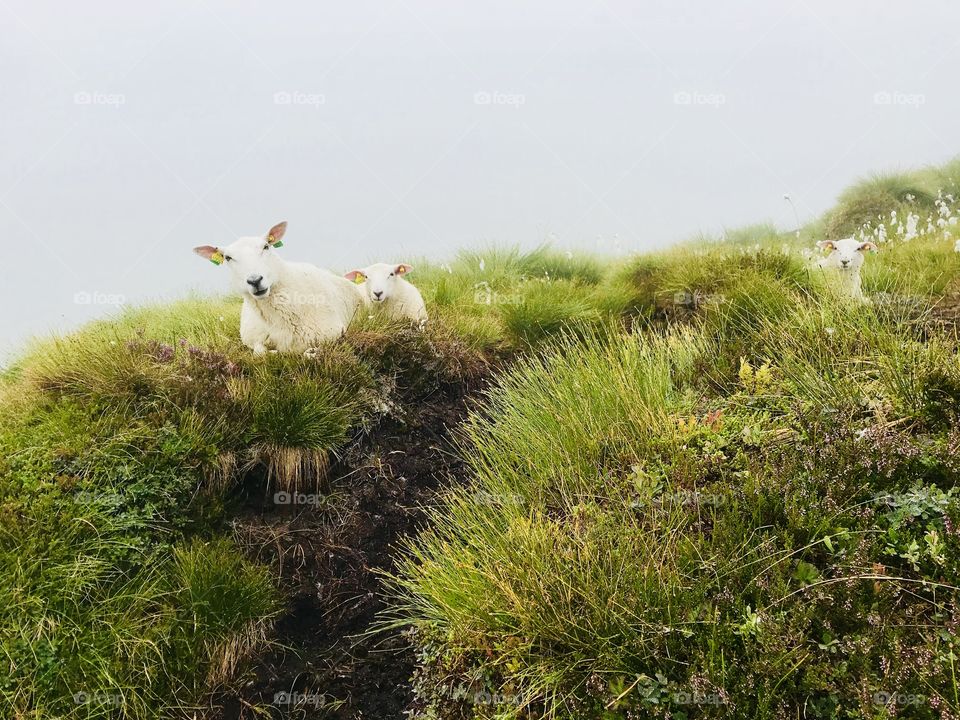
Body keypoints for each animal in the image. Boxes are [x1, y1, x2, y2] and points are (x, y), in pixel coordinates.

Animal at [193, 221, 365, 354]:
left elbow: (309, 353)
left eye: (266, 247)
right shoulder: (254, 340)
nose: (255, 280)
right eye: (228, 258)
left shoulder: (335, 335)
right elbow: (261, 353)